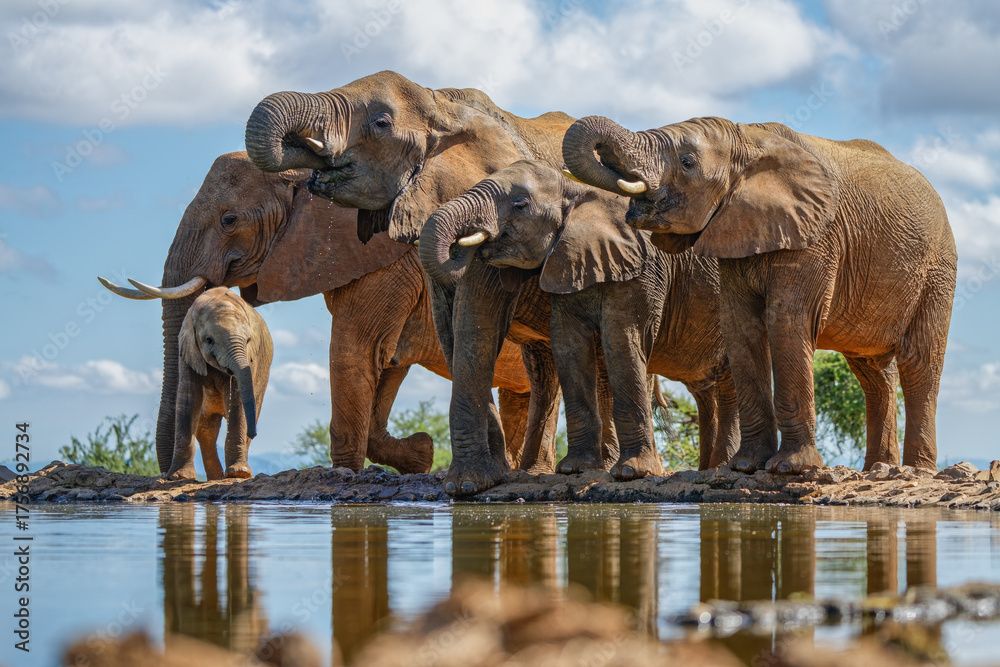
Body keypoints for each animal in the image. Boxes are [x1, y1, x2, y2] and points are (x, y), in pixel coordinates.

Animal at [169, 286, 272, 480]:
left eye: (248, 340)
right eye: (209, 340)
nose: (253, 433)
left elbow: (237, 401)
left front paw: (238, 473)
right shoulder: (187, 352)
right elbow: (188, 398)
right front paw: (180, 477)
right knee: (206, 429)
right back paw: (216, 477)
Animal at [245, 70, 623, 495]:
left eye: (381, 123)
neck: (443, 106)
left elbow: (476, 321)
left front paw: (471, 483)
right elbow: (452, 330)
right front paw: (486, 475)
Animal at [421, 160, 738, 477]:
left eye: (520, 204)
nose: (464, 247)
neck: (576, 189)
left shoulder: (644, 267)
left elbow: (622, 339)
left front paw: (631, 472)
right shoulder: (566, 262)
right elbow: (568, 344)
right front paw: (576, 469)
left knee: (728, 377)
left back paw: (724, 466)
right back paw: (711, 467)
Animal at [562, 115, 957, 473]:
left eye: (687, 162)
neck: (750, 141)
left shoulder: (816, 236)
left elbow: (787, 320)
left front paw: (789, 468)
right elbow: (740, 326)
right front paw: (746, 466)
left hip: (938, 270)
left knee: (919, 360)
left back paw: (917, 471)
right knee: (872, 371)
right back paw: (880, 468)